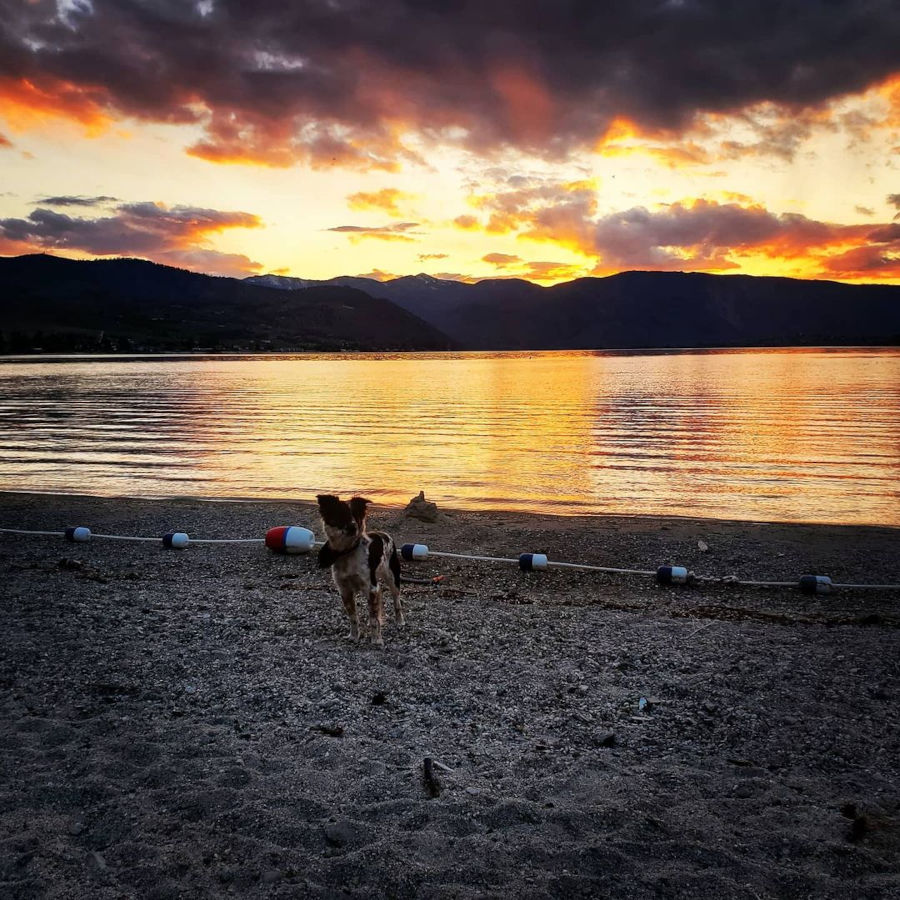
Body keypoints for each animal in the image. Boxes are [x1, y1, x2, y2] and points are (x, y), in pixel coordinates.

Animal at [314, 492, 402, 648]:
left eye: (355, 515)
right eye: (340, 514)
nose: (353, 527)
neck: (347, 552)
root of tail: (384, 534)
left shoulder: (371, 587)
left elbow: (374, 619)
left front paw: (376, 639)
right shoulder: (345, 590)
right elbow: (353, 617)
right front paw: (354, 636)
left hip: (393, 578)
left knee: (396, 600)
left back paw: (400, 621)